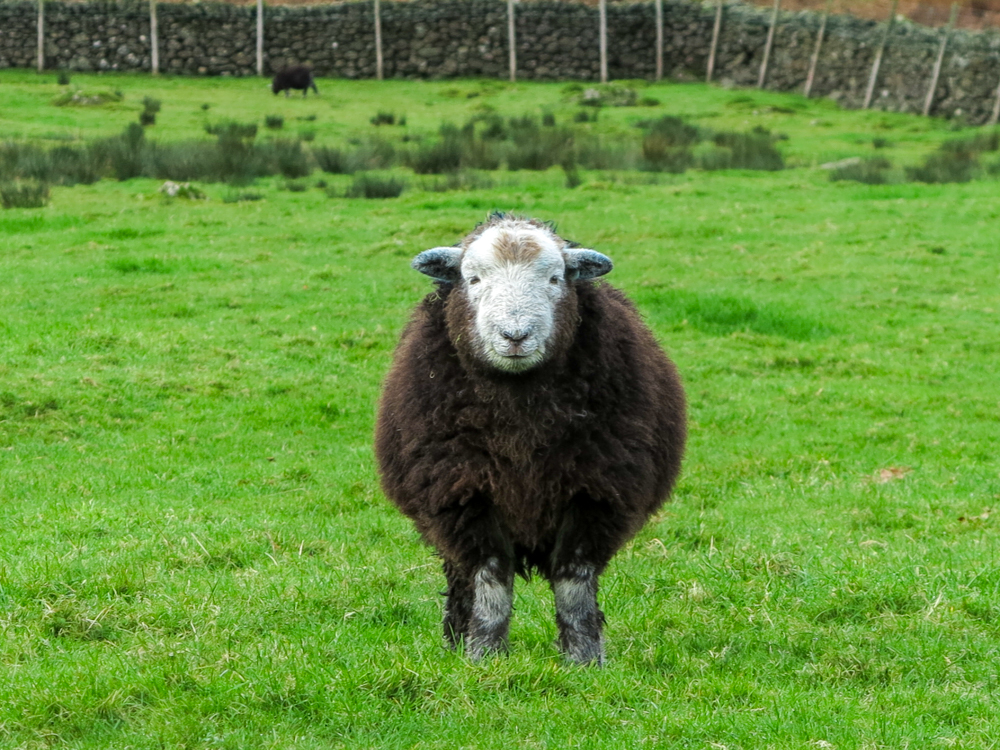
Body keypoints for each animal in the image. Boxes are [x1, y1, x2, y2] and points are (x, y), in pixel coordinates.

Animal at [376, 214, 688, 668]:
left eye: (555, 279)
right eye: (473, 279)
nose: (515, 335)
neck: (519, 421)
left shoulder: (594, 493)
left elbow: (573, 581)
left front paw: (583, 659)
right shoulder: (462, 493)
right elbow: (490, 579)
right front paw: (484, 656)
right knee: (459, 577)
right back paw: (455, 639)